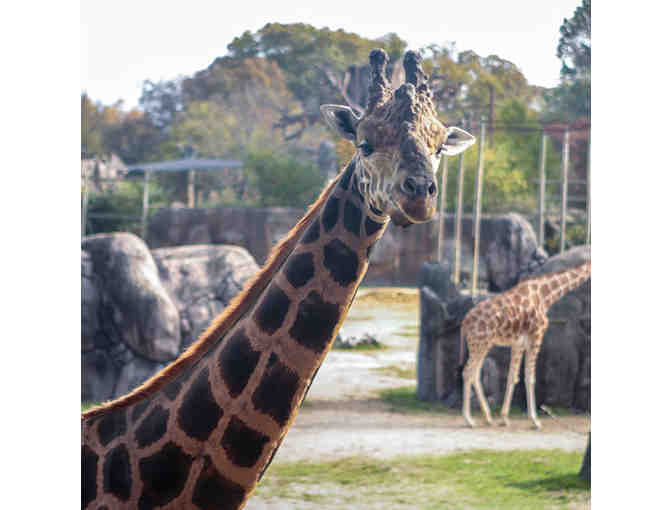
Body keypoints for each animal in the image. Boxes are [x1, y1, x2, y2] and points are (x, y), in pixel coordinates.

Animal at [460, 258, 592, 430]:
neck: (546, 295)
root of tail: (465, 322)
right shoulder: (536, 337)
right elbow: (530, 377)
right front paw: (535, 420)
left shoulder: (518, 344)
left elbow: (513, 377)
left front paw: (504, 418)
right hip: (480, 343)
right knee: (467, 372)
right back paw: (469, 419)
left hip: (482, 344)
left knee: (474, 374)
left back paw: (488, 418)